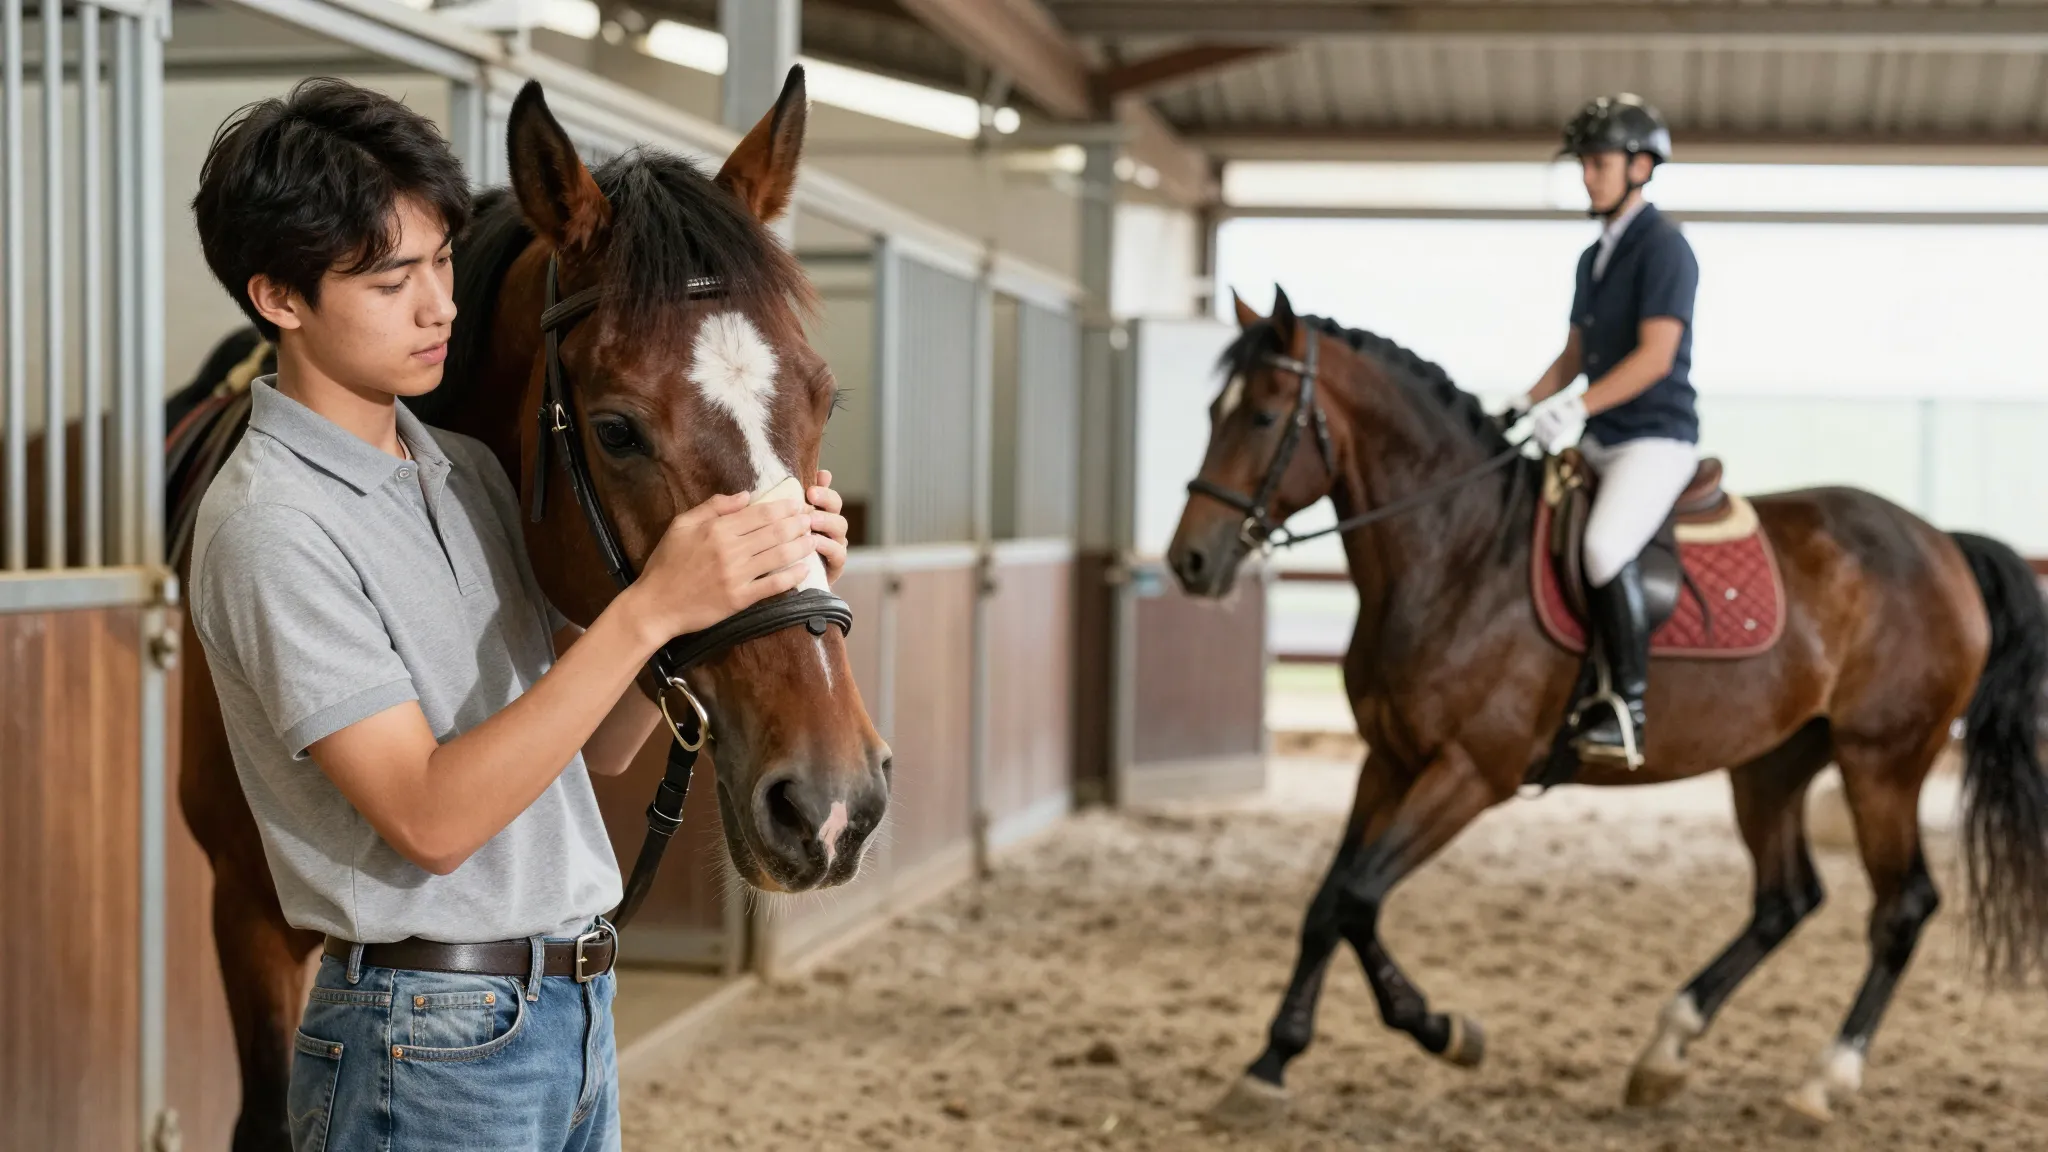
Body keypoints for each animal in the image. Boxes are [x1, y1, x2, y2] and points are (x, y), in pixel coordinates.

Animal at [1166, 288, 2048, 1127]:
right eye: (1213, 413)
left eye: (1264, 416)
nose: (1190, 562)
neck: (1457, 555)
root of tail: (1941, 542)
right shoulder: (1388, 763)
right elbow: (1330, 906)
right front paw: (1274, 1064)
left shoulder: (1468, 774)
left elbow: (1357, 898)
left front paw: (1440, 1032)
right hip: (1774, 761)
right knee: (1785, 898)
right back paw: (1665, 1051)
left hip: (1882, 760)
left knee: (1902, 906)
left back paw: (1825, 1080)